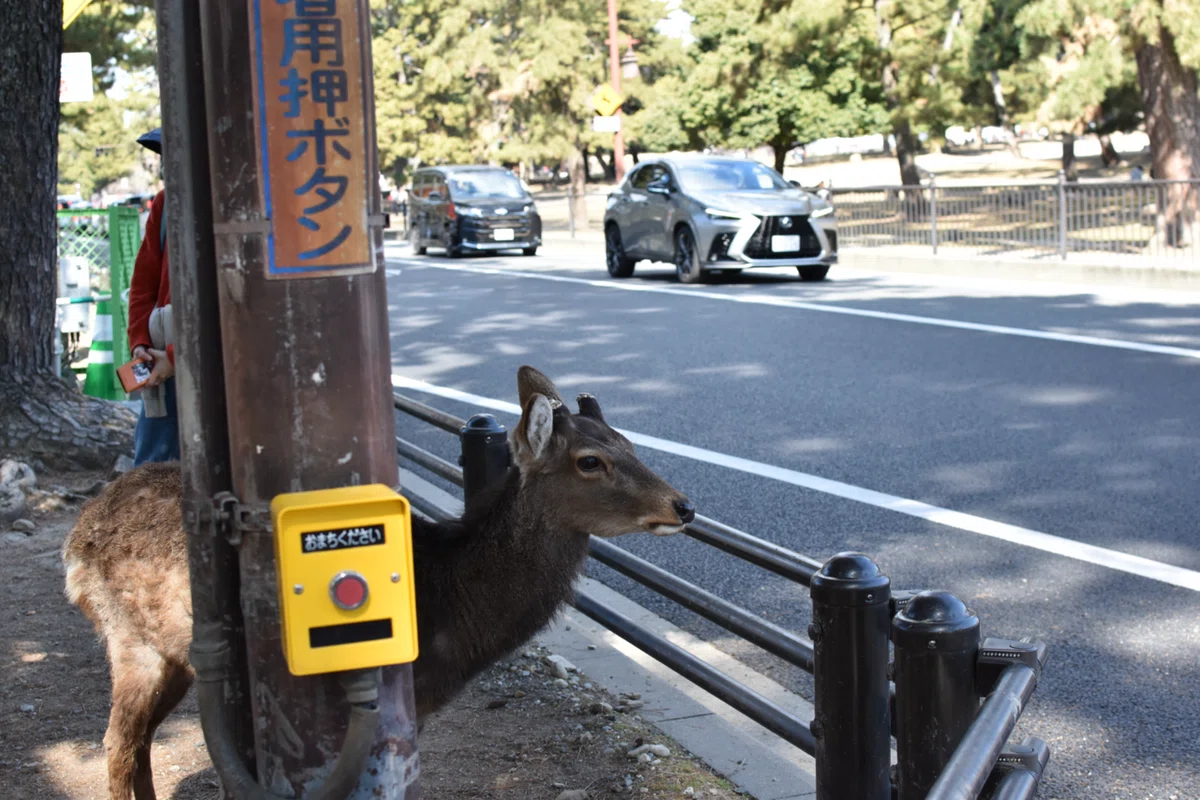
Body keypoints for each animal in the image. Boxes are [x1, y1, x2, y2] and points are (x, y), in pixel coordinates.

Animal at [63, 365, 695, 800]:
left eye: (629, 444)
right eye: (590, 460)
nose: (684, 505)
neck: (450, 619)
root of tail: (76, 538)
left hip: (174, 655)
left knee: (137, 742)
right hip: (130, 638)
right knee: (117, 743)